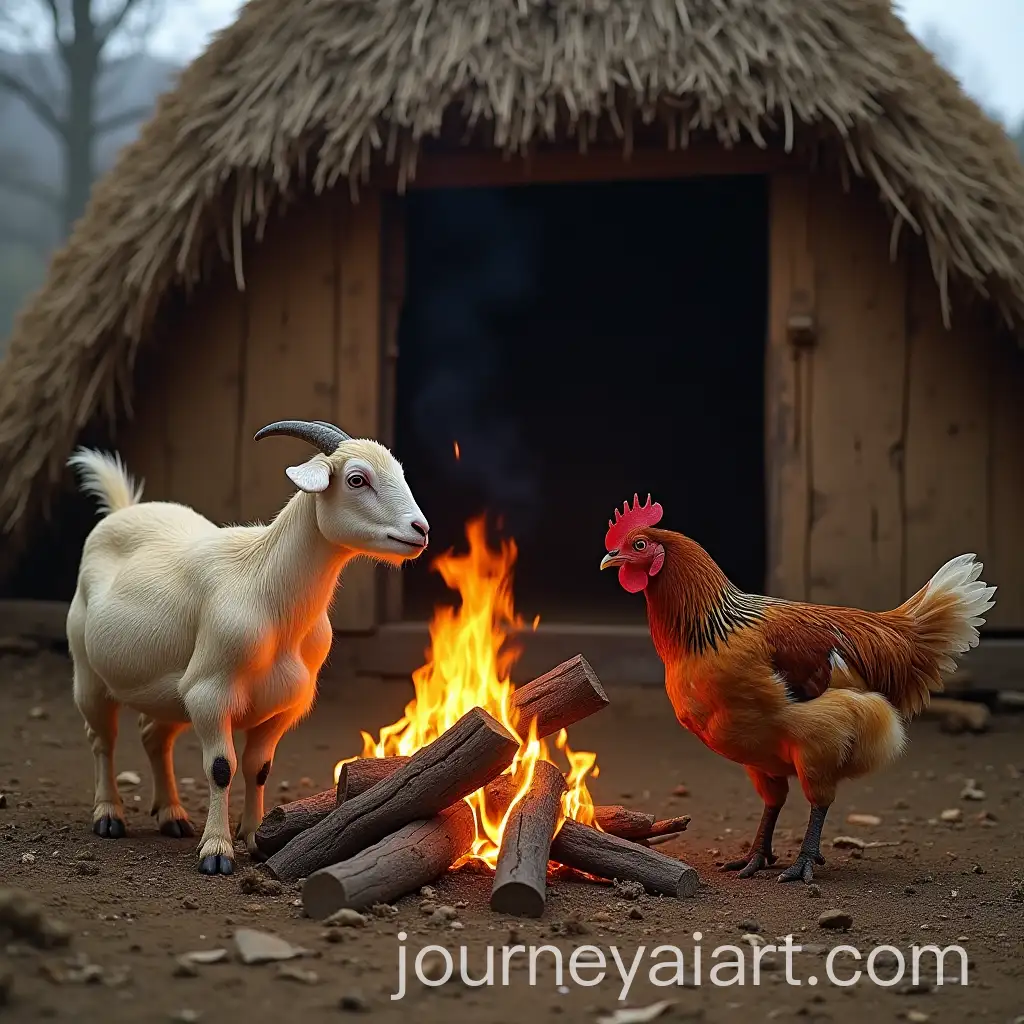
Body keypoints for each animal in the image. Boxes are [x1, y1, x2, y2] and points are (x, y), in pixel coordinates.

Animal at [66, 419, 429, 875]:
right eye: (356, 479)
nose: (421, 530)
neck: (265, 586)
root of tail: (121, 509)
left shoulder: (282, 705)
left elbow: (259, 768)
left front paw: (256, 839)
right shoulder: (209, 693)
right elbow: (221, 768)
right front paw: (217, 851)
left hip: (168, 694)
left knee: (154, 738)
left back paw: (172, 816)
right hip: (88, 671)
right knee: (102, 739)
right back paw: (109, 815)